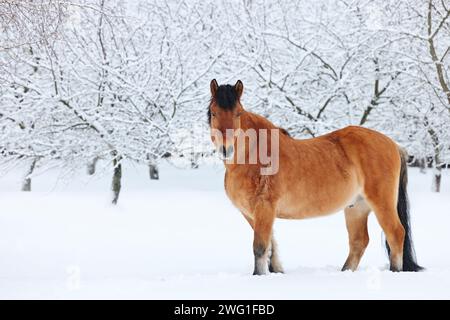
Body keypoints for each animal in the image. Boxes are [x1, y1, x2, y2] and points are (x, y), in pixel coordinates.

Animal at [207, 79, 422, 276]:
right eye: (214, 112)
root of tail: (393, 144)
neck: (255, 156)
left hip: (381, 203)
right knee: (359, 242)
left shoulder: (265, 209)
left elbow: (260, 247)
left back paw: (395, 271)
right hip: (356, 208)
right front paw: (276, 271)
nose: (226, 149)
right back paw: (345, 272)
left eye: (238, 113)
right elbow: (270, 247)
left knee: (395, 234)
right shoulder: (251, 213)